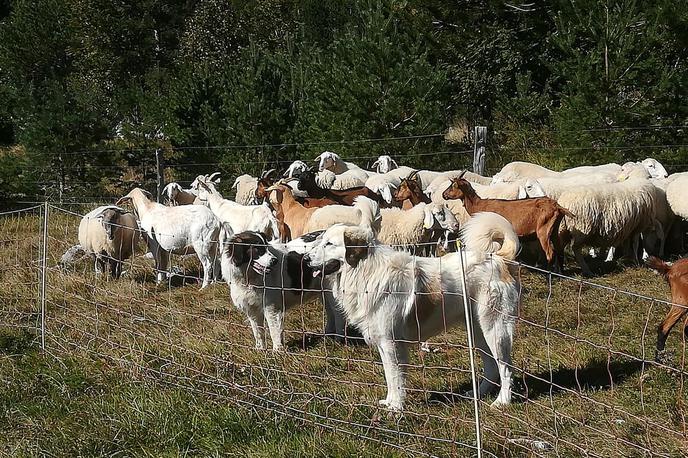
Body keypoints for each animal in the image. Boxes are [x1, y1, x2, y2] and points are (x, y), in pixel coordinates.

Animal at [304, 212, 520, 412]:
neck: (365, 270)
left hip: (495, 330)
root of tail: (498, 259)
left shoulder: (392, 343)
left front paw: (396, 408)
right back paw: (477, 394)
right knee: (492, 367)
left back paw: (502, 401)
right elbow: (389, 377)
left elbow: (396, 377)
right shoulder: (383, 342)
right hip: (478, 332)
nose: (305, 259)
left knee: (505, 368)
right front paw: (389, 403)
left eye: (329, 244)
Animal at [444, 173, 572, 272]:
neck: (479, 205)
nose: (443, 194)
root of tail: (557, 206)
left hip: (543, 230)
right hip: (553, 230)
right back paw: (560, 274)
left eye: (453, 186)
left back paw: (549, 274)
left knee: (550, 253)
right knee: (559, 250)